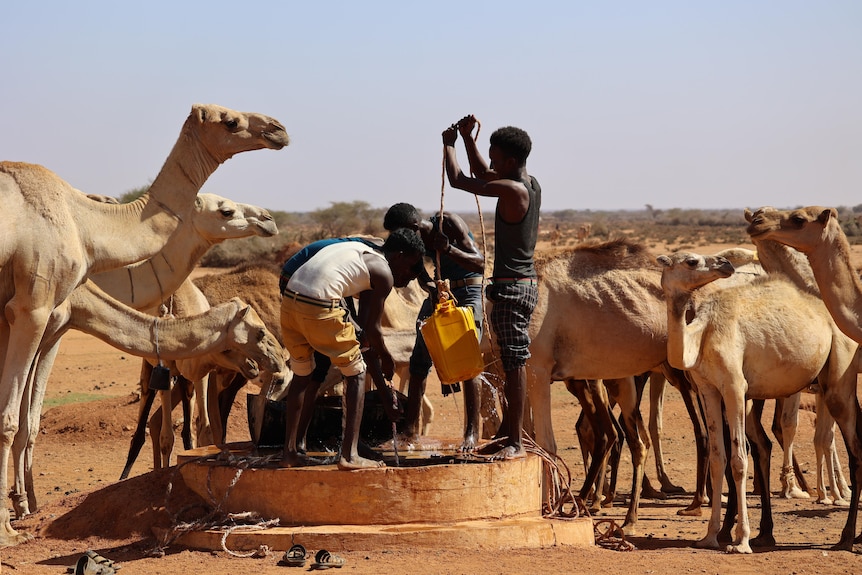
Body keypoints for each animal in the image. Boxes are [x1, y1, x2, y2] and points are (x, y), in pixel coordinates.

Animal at [0, 103, 290, 548]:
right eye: (230, 121)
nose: (279, 130)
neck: (84, 225)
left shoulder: (38, 320)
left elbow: (27, 420)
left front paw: (24, 504)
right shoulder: (34, 309)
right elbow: (15, 419)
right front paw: (12, 519)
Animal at [660, 252, 860, 552]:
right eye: (692, 261)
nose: (725, 264)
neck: (703, 333)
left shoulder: (735, 386)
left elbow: (739, 460)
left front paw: (740, 540)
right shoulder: (708, 389)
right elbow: (719, 459)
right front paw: (709, 536)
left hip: (839, 374)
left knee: (855, 450)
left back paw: (846, 537)